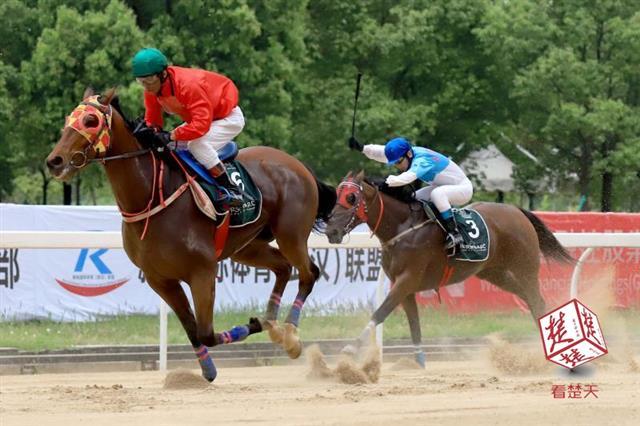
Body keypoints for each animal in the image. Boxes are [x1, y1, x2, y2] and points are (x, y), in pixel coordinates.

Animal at [45, 88, 338, 382]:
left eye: (91, 120)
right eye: (68, 118)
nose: (54, 161)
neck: (152, 198)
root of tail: (299, 166)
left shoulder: (202, 271)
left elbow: (206, 332)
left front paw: (252, 325)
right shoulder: (160, 279)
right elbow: (192, 329)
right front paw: (207, 369)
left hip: (290, 235)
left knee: (308, 273)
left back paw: (290, 336)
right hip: (247, 247)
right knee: (283, 268)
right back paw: (274, 327)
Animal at [324, 171, 576, 364]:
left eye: (351, 197)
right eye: (336, 194)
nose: (330, 230)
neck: (403, 228)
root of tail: (516, 211)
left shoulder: (407, 280)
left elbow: (380, 313)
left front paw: (351, 348)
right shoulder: (403, 285)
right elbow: (414, 325)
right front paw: (419, 363)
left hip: (525, 268)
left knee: (537, 300)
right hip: (495, 273)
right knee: (528, 299)